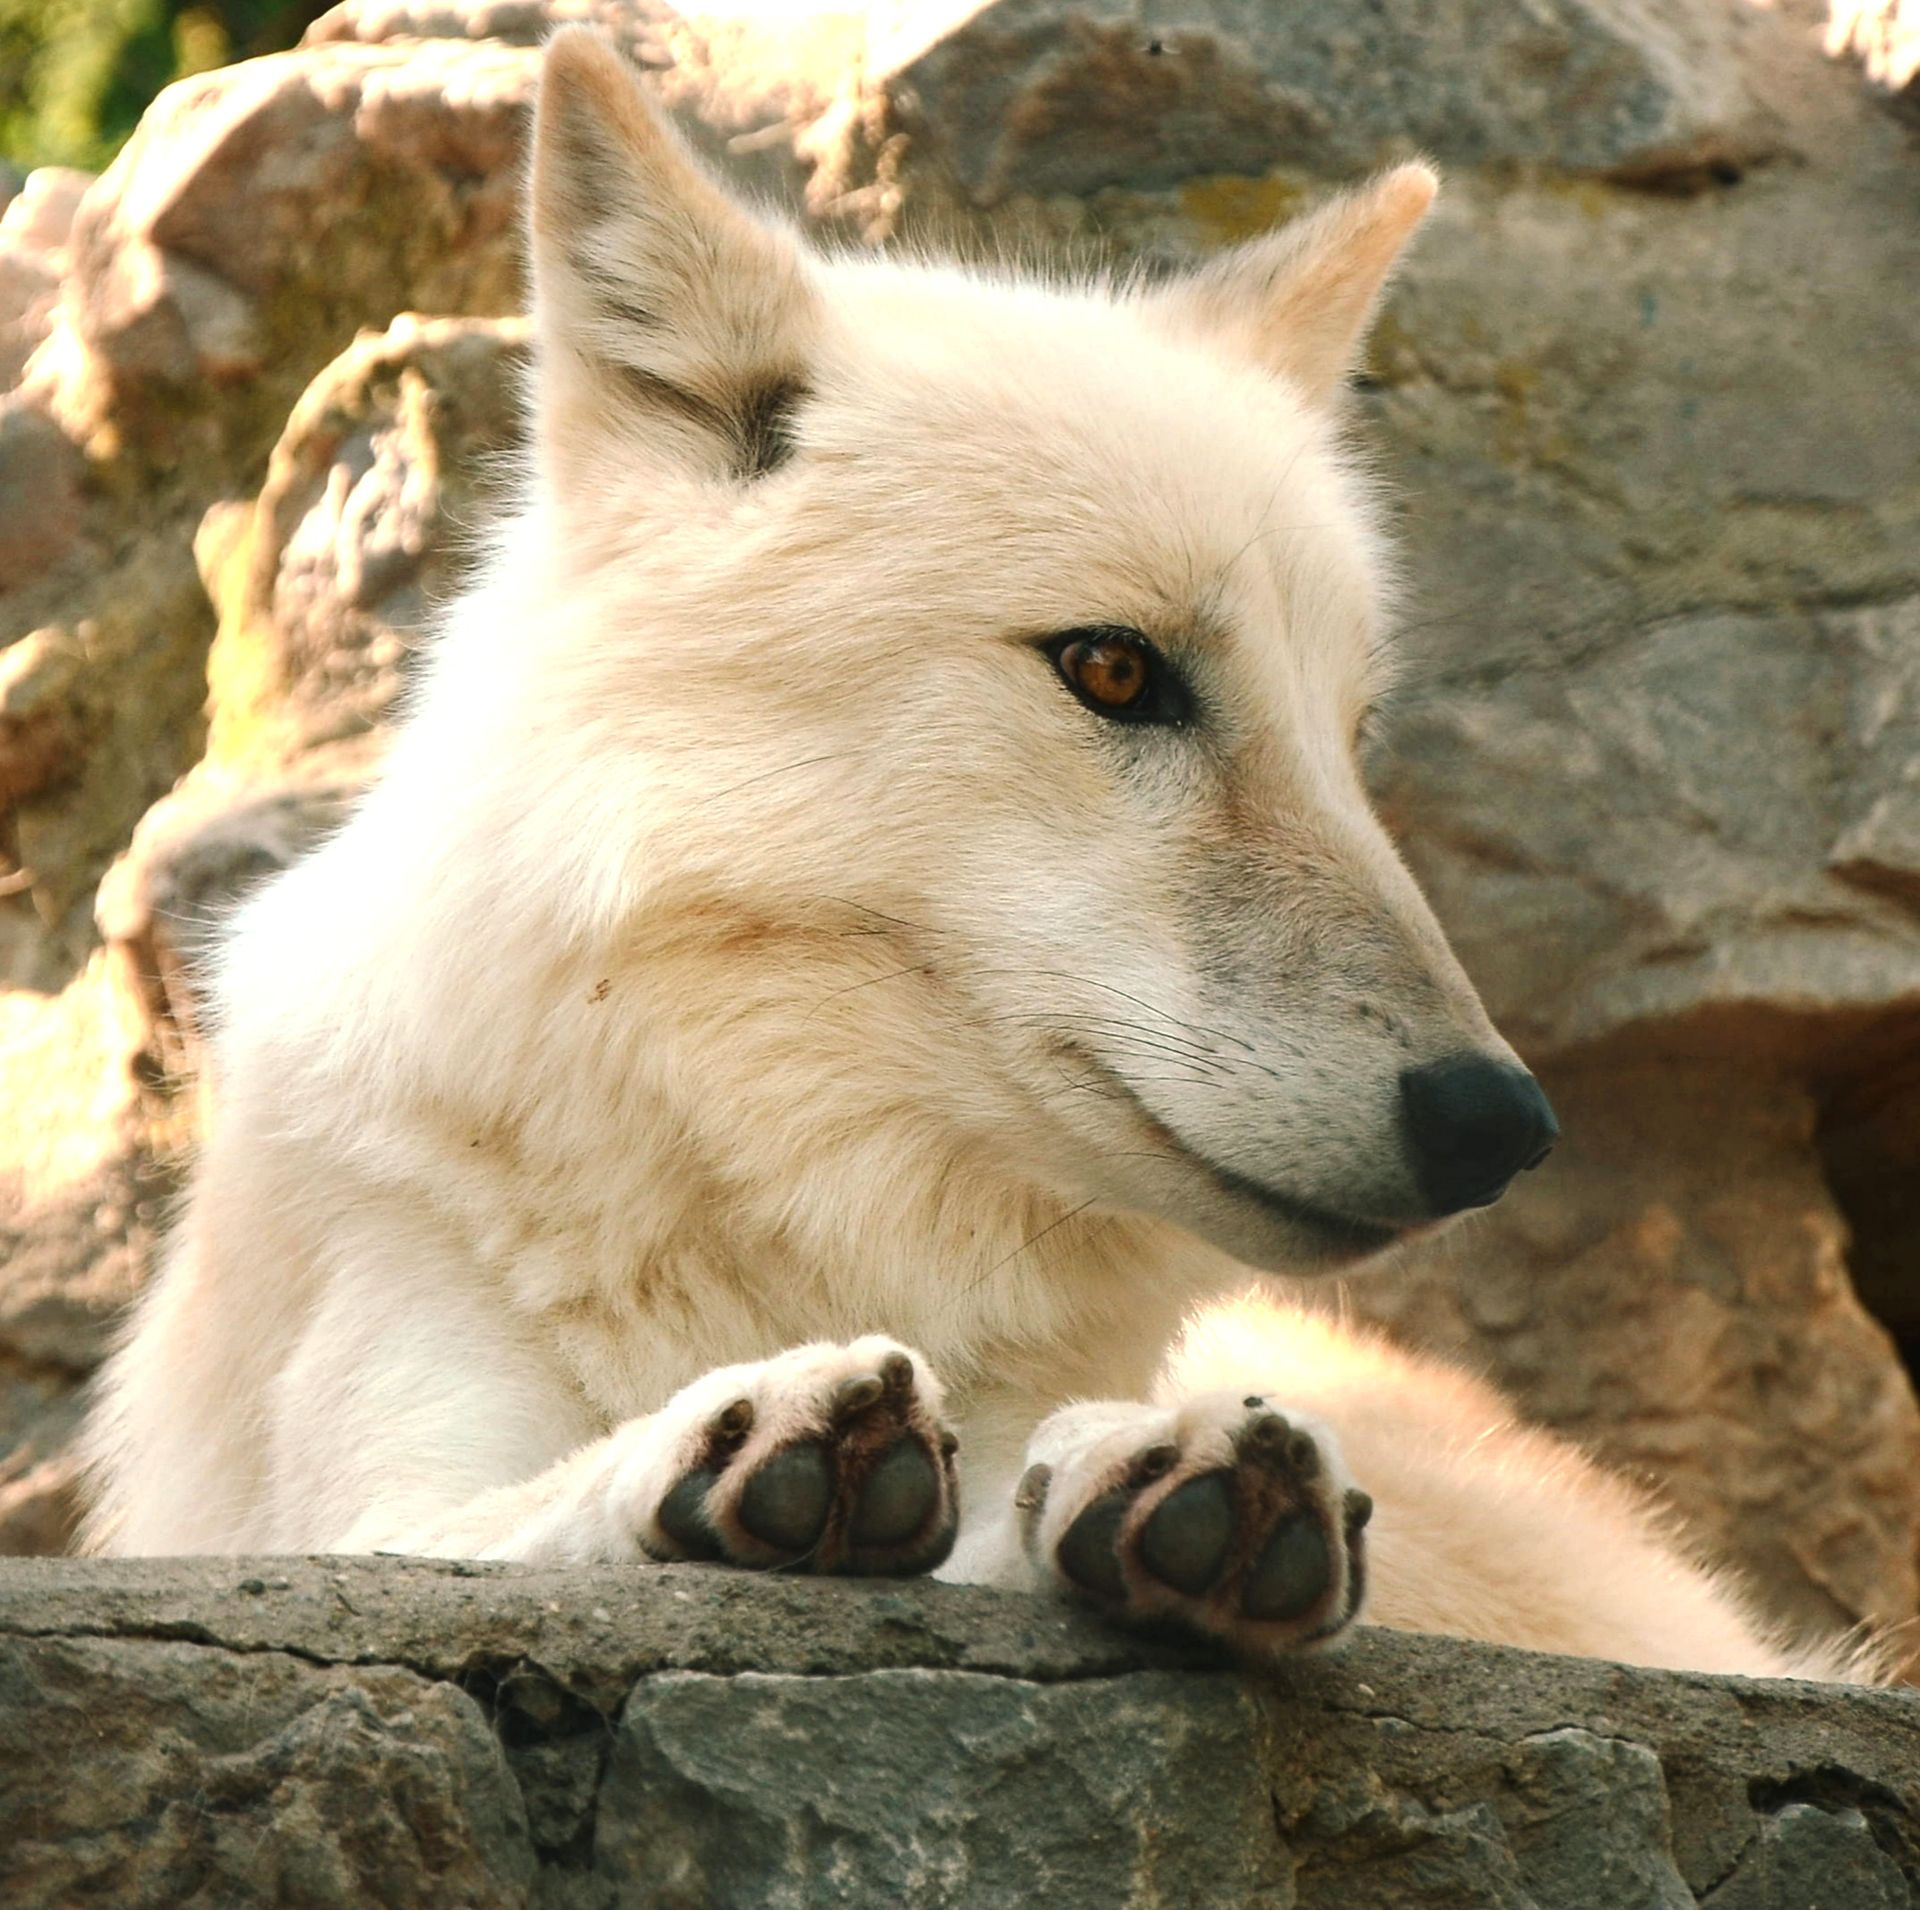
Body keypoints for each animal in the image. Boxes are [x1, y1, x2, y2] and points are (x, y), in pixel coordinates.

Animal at [82, 28, 1859, 1680]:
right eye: (1116, 670)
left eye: (1346, 733)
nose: (1500, 1123)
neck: (794, 1214)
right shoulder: (367, 1502)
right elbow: (510, 1518)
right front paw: (739, 1441)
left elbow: (1013, 1515)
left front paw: (1155, 1482)